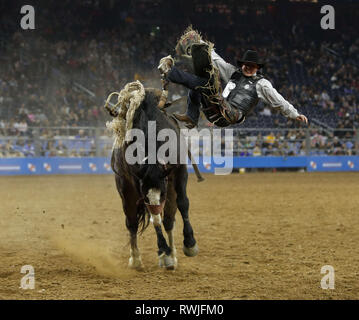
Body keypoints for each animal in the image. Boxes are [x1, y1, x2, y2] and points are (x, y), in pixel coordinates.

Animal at [104, 80, 200, 270]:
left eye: (161, 193)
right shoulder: (140, 185)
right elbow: (154, 218)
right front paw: (163, 252)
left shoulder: (179, 171)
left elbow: (183, 203)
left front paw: (189, 243)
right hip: (126, 192)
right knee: (132, 223)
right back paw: (136, 258)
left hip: (170, 192)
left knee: (169, 220)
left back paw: (173, 255)